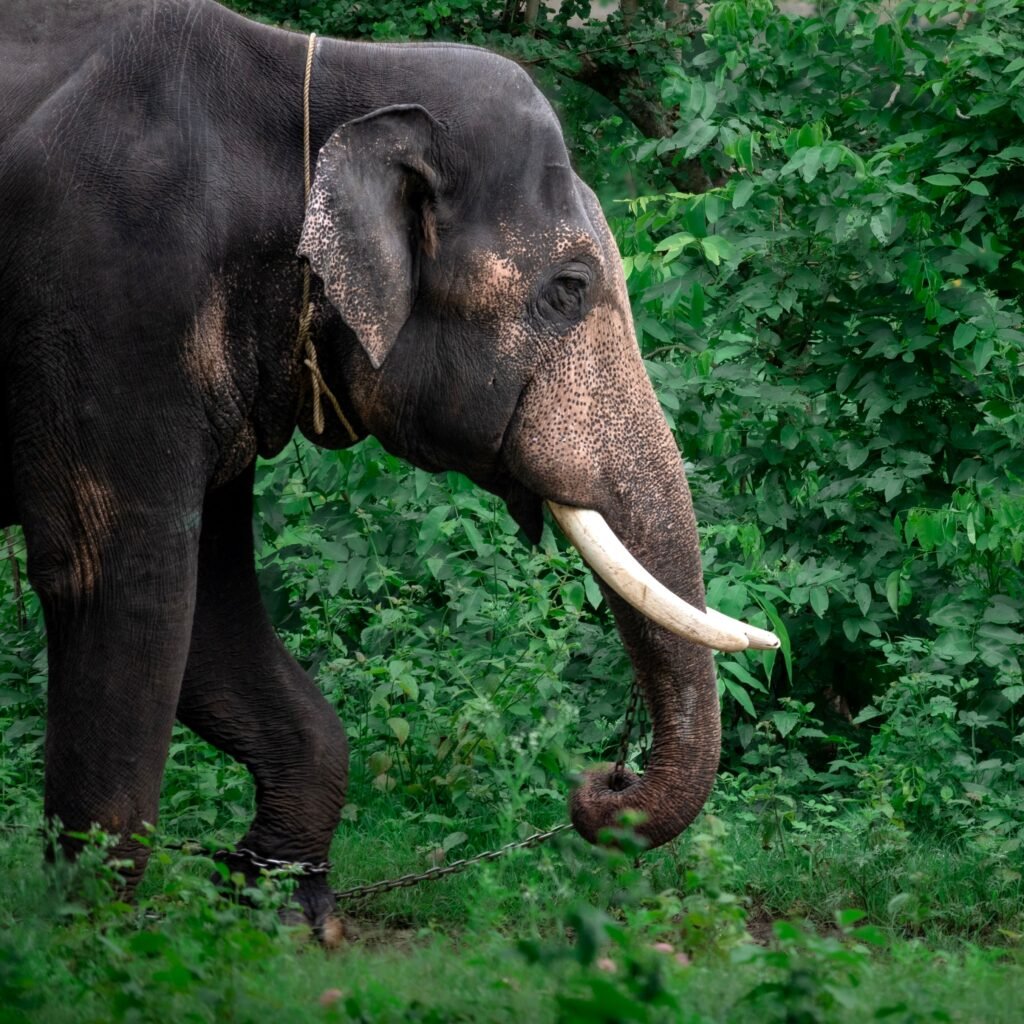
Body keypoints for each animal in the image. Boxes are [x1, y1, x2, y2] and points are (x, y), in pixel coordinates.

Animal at [0, 0, 777, 936]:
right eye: (569, 289)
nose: (605, 780)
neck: (336, 80)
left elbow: (209, 612)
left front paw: (285, 912)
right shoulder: (117, 298)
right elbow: (120, 581)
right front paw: (96, 939)